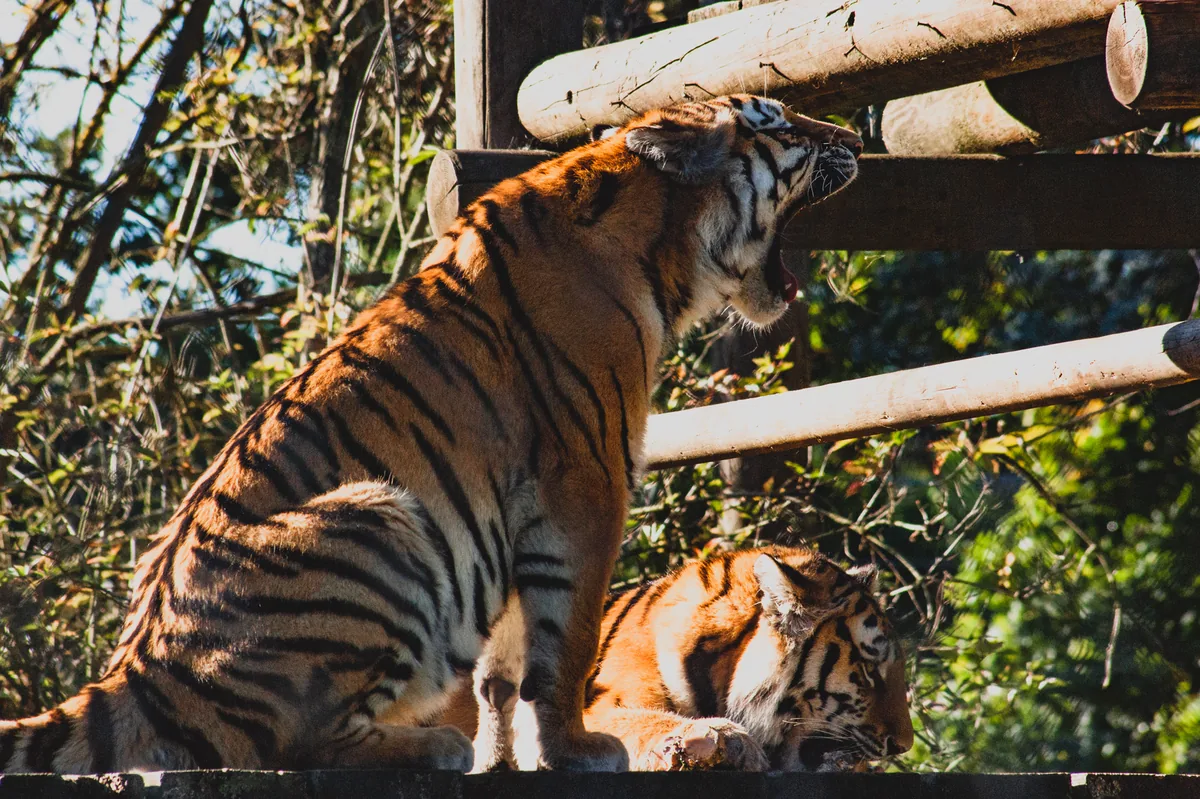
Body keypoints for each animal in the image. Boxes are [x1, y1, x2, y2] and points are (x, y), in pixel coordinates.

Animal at [0, 94, 862, 774]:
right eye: (783, 122)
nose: (853, 133)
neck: (663, 244)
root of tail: (138, 671)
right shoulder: (587, 477)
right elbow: (568, 637)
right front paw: (576, 747)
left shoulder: (512, 510)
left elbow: (503, 666)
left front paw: (507, 757)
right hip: (380, 517)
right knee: (290, 745)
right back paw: (424, 745)